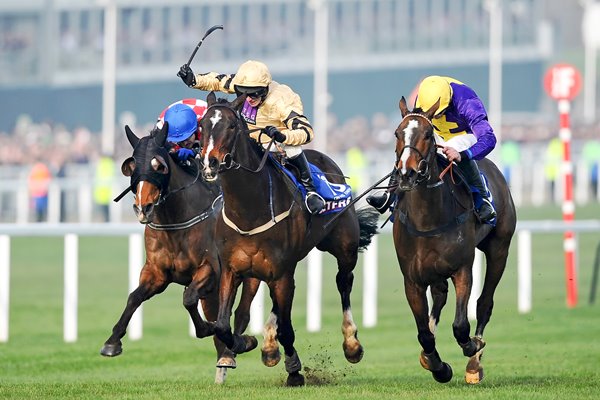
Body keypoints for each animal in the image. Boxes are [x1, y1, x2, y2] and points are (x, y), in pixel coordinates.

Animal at [100, 122, 260, 384]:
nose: (142, 208)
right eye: (131, 166)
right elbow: (134, 297)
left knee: (242, 312)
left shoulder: (211, 270)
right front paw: (112, 342)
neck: (177, 221)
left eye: (159, 166)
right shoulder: (157, 273)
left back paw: (236, 348)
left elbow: (189, 299)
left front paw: (210, 330)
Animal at [199, 92, 378, 386]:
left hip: (343, 246)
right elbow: (223, 325)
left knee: (344, 281)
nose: (209, 163)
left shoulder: (281, 272)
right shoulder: (232, 269)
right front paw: (242, 345)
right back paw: (269, 347)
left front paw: (294, 370)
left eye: (232, 126)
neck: (250, 209)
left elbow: (287, 330)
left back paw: (351, 344)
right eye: (202, 126)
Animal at [390, 97, 516, 384]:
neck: (426, 219)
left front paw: (471, 347)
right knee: (438, 297)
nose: (406, 174)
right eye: (398, 133)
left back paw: (474, 363)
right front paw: (437, 365)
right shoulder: (412, 279)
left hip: (499, 249)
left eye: (428, 134)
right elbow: (423, 333)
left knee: (484, 303)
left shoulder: (462, 269)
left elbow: (460, 324)